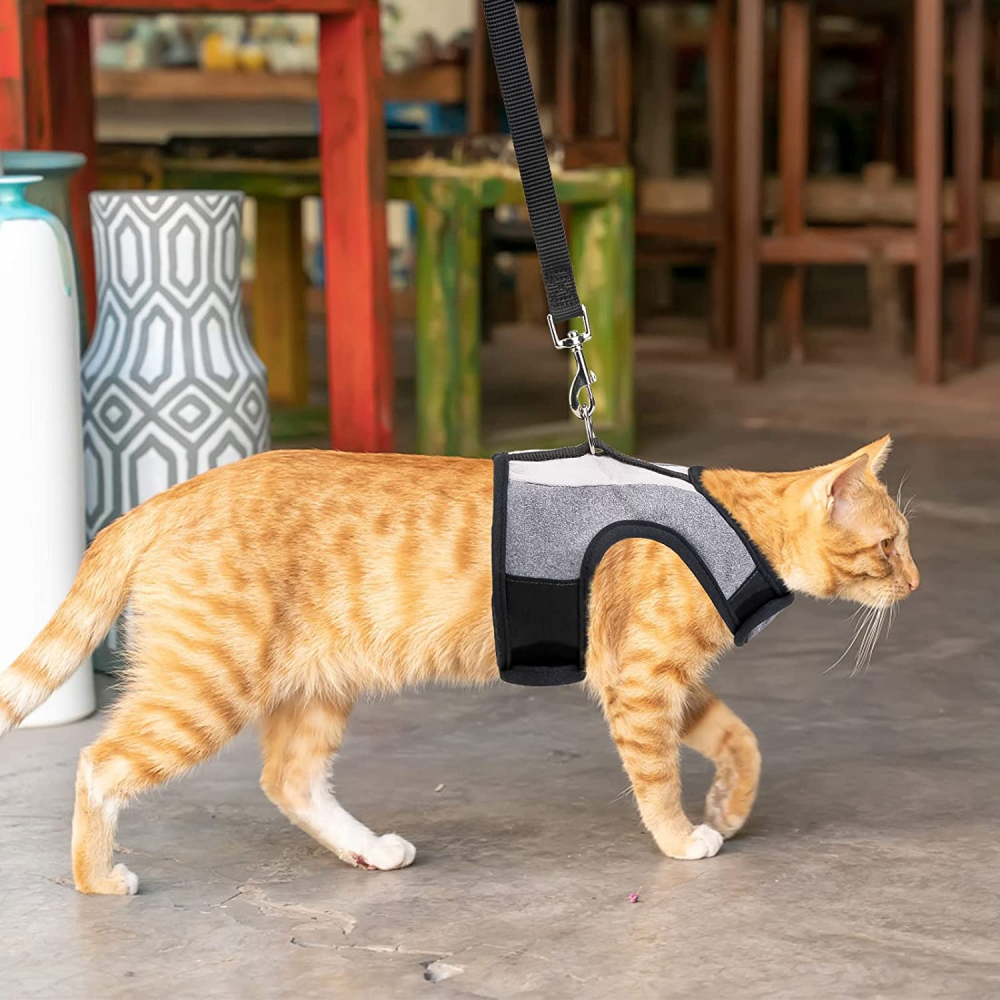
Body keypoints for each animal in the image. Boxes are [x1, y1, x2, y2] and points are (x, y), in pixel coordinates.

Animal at [0, 435, 918, 895]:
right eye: (888, 545)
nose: (917, 582)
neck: (730, 526)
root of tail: (168, 497)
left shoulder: (665, 684)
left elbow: (740, 740)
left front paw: (730, 805)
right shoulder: (640, 682)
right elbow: (657, 780)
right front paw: (681, 837)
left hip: (317, 687)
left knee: (288, 780)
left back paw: (368, 852)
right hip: (205, 688)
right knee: (98, 764)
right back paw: (96, 880)